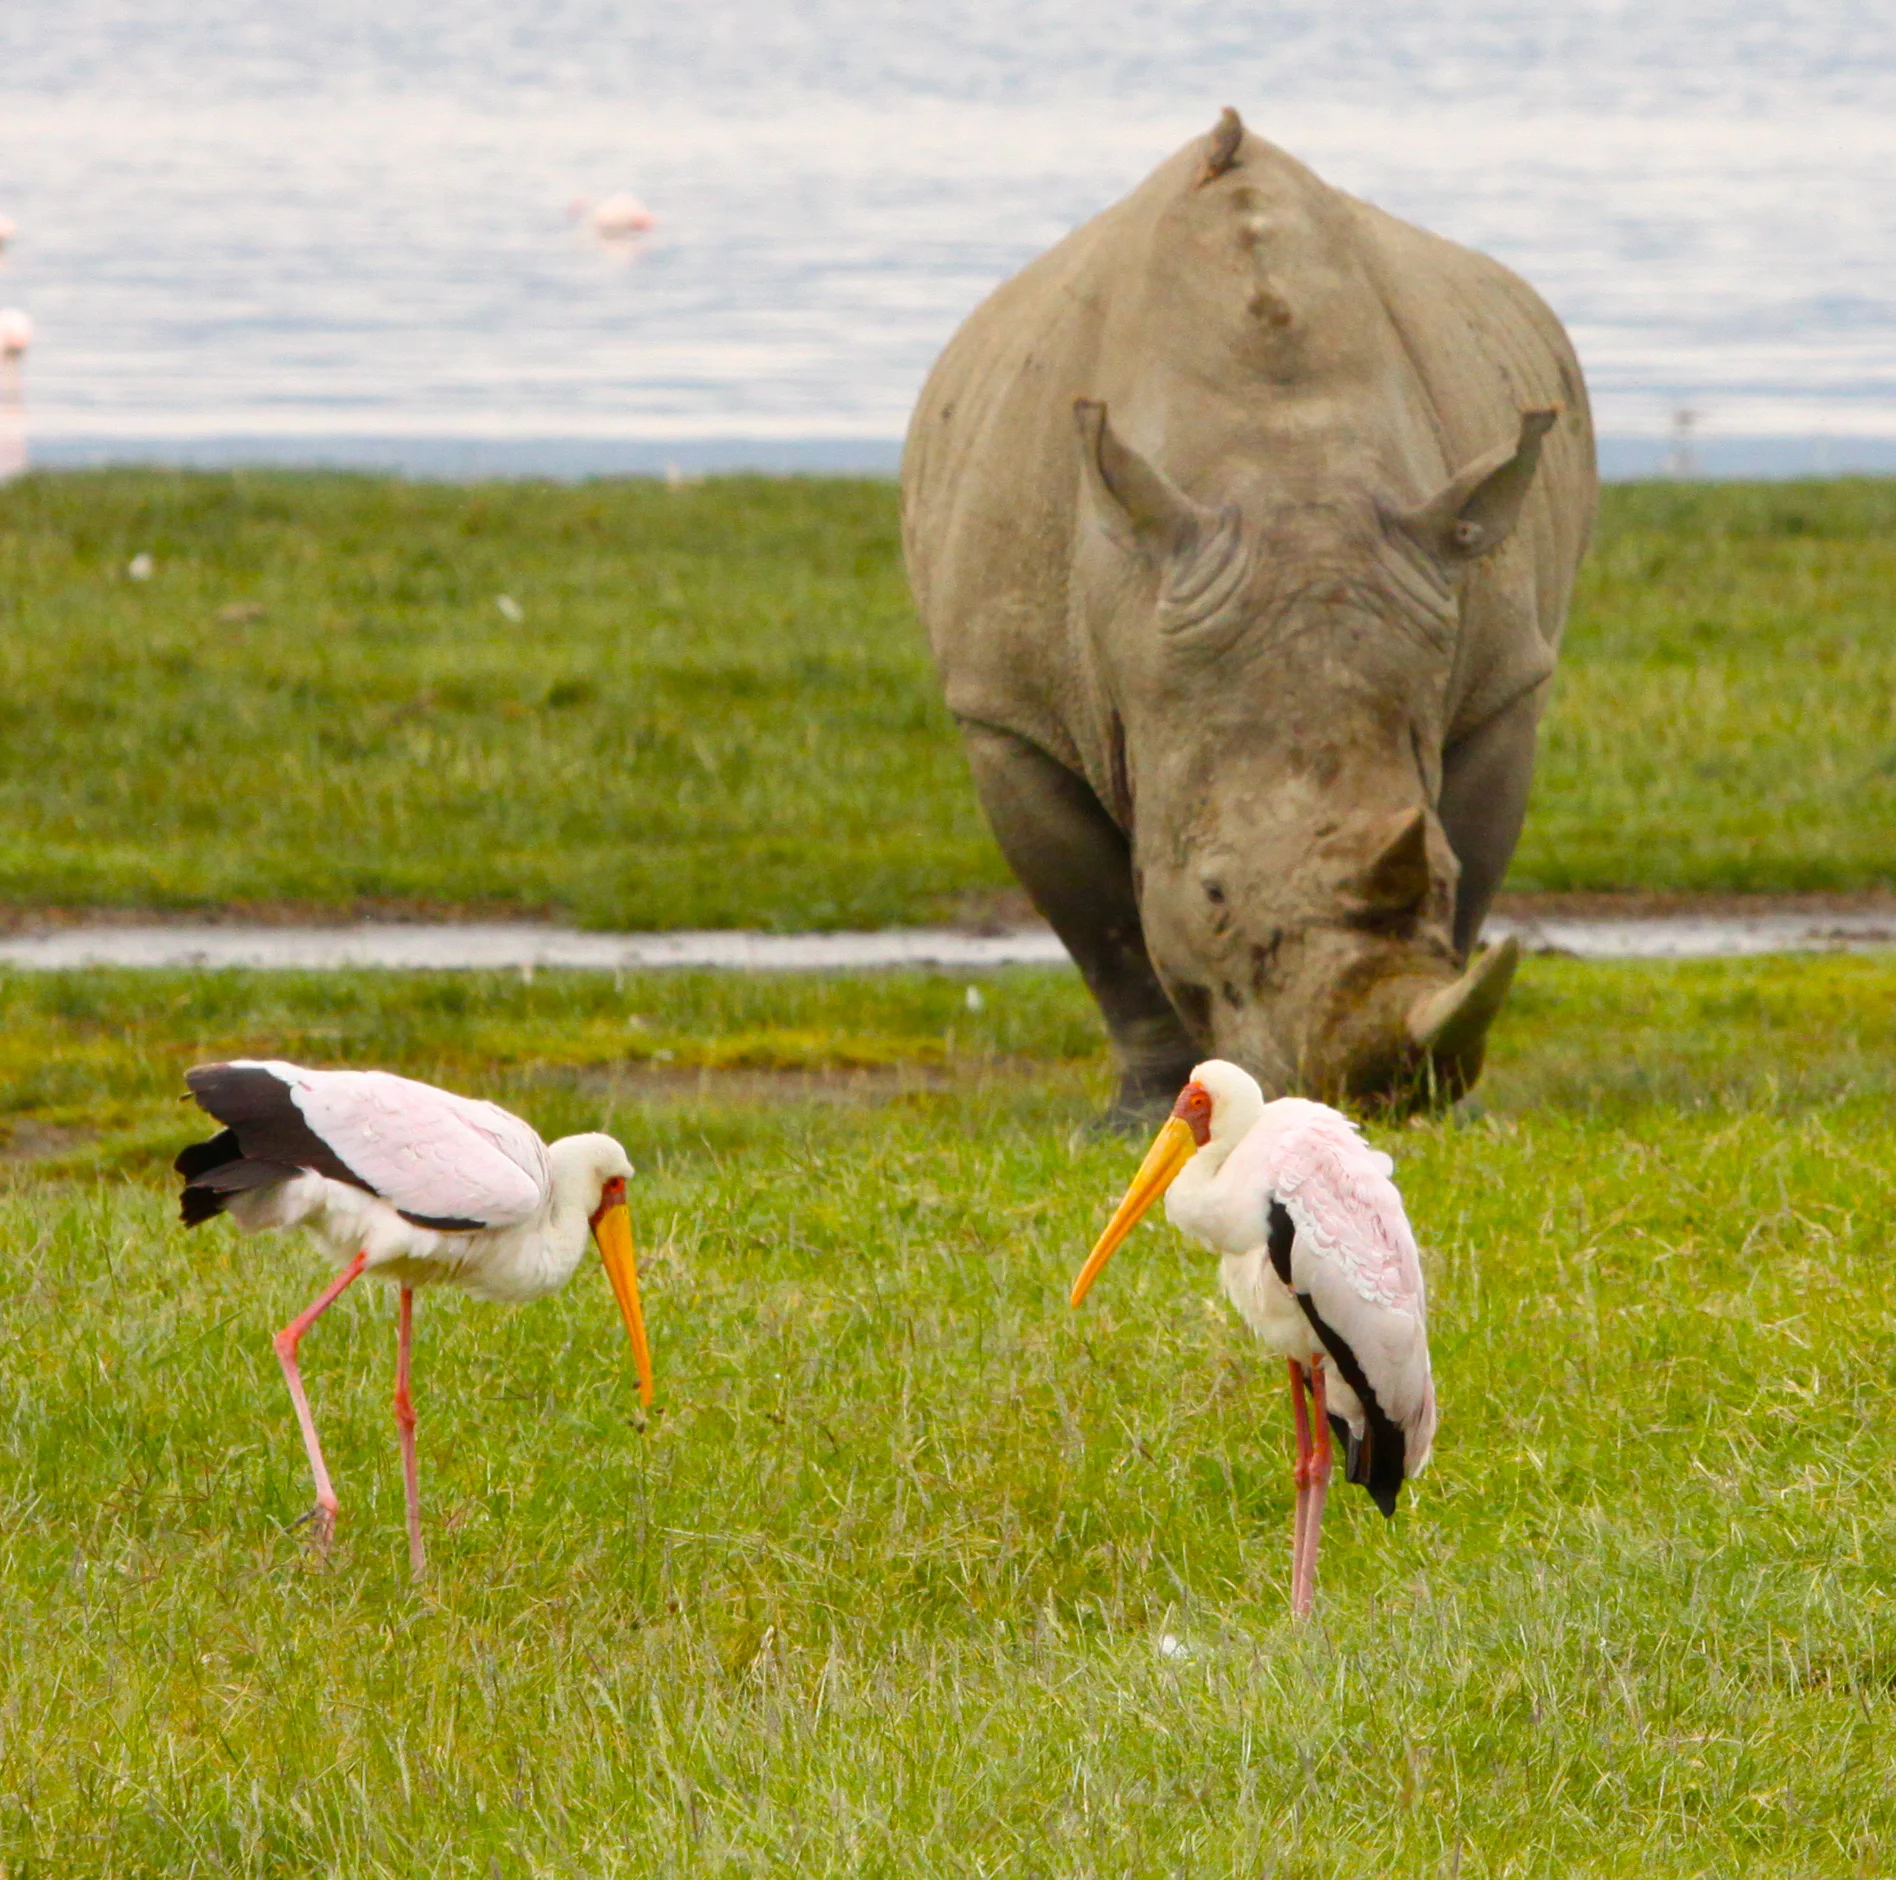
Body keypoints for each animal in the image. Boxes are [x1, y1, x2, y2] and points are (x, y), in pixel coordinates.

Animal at [901, 109, 1596, 1120]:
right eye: (1215, 894)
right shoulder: (1008, 712)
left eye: (1439, 873)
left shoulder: (1503, 681)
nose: (1372, 1092)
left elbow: (1473, 867)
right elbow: (1110, 934)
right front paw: (1145, 1111)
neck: (1285, 464)